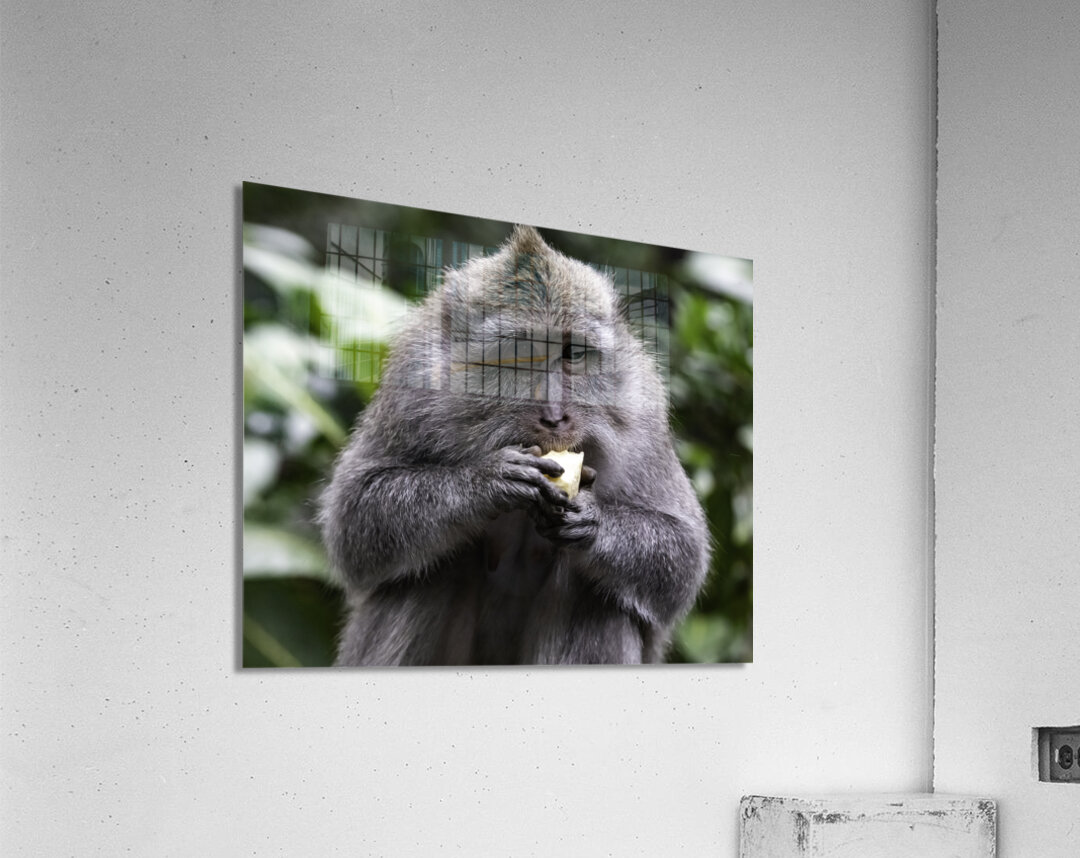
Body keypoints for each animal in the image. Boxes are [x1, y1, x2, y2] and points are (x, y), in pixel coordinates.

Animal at [319, 225, 710, 665]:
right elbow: (353, 521)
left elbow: (683, 555)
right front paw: (484, 484)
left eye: (573, 353)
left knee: (595, 592)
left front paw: (593, 522)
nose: (555, 415)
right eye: (518, 354)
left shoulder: (641, 415)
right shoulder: (411, 388)